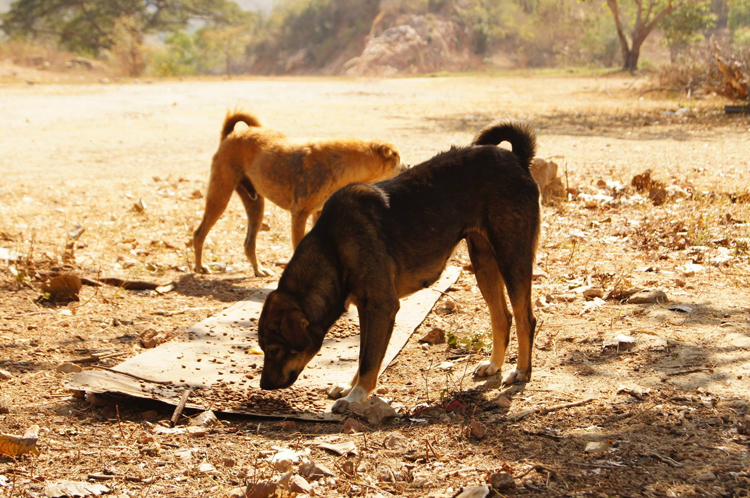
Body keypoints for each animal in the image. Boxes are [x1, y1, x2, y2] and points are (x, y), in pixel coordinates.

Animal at [194, 111, 406, 278]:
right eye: (398, 157)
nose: (409, 165)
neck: (343, 164)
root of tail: (230, 135)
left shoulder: (318, 214)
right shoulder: (299, 215)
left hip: (255, 204)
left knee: (248, 243)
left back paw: (258, 270)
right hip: (220, 196)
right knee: (198, 233)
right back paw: (199, 267)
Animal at [258, 120, 540, 412]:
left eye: (276, 350)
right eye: (263, 348)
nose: (264, 385)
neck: (332, 247)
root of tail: (517, 159)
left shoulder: (382, 307)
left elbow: (369, 360)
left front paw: (355, 396)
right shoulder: (367, 308)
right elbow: (363, 355)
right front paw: (350, 388)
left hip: (512, 256)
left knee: (525, 318)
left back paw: (521, 371)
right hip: (483, 262)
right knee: (502, 317)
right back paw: (494, 365)